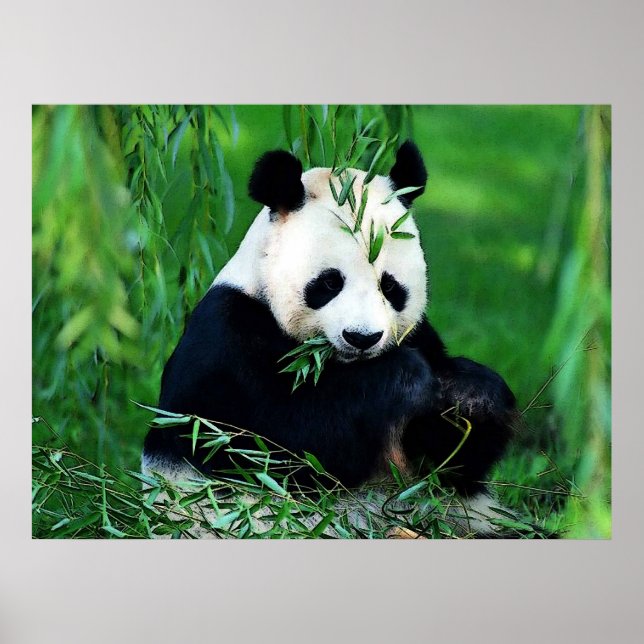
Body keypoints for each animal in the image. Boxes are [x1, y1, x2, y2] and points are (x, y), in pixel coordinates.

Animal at [142, 141, 519, 537]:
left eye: (390, 286)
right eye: (329, 283)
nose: (362, 337)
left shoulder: (420, 335)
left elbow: (450, 463)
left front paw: (471, 394)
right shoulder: (227, 342)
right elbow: (286, 444)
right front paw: (403, 377)